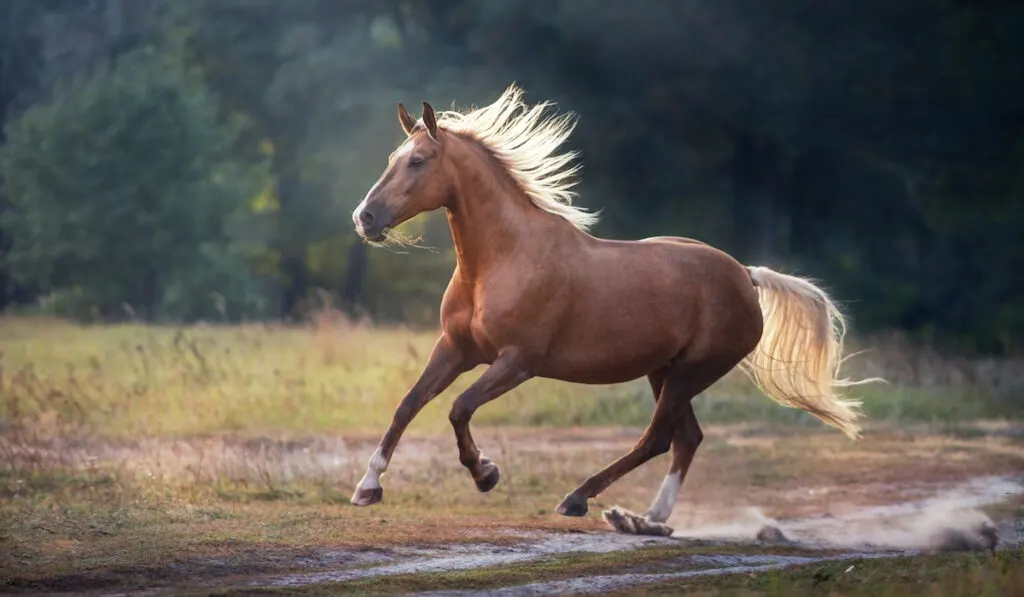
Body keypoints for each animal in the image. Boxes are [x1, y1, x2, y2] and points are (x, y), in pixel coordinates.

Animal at [348, 82, 876, 528]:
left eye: (418, 161)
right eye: (394, 158)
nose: (364, 218)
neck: (502, 259)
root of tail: (745, 276)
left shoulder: (517, 361)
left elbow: (459, 408)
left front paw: (486, 474)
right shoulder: (456, 349)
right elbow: (408, 404)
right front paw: (367, 487)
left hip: (691, 371)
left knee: (658, 438)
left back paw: (582, 500)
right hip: (665, 370)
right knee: (685, 438)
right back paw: (646, 520)